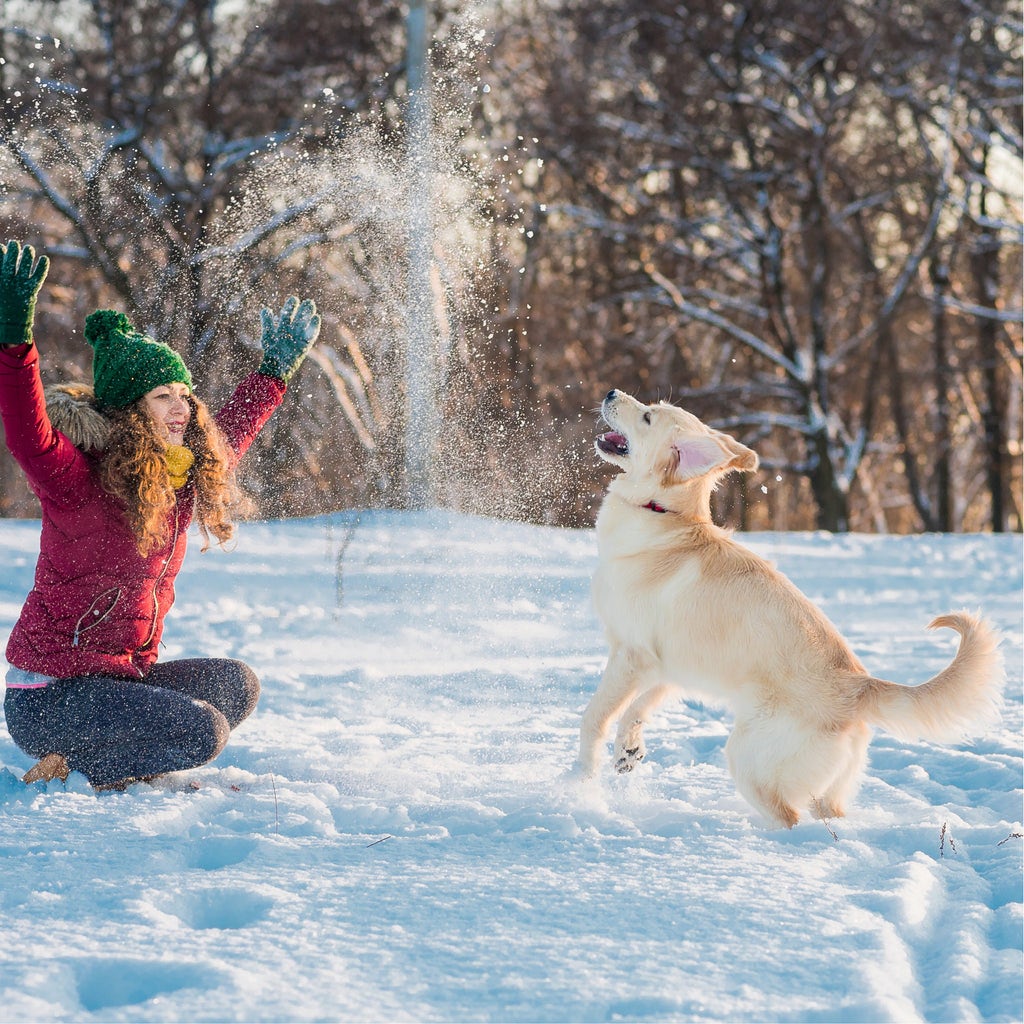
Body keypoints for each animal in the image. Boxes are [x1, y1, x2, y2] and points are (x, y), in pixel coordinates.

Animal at [581, 387, 1003, 827]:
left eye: (647, 417)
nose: (610, 392)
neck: (665, 515)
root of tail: (858, 686)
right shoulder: (668, 666)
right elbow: (638, 708)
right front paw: (627, 750)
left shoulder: (630, 656)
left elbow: (594, 718)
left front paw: (580, 784)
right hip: (827, 790)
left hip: (748, 759)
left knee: (789, 819)